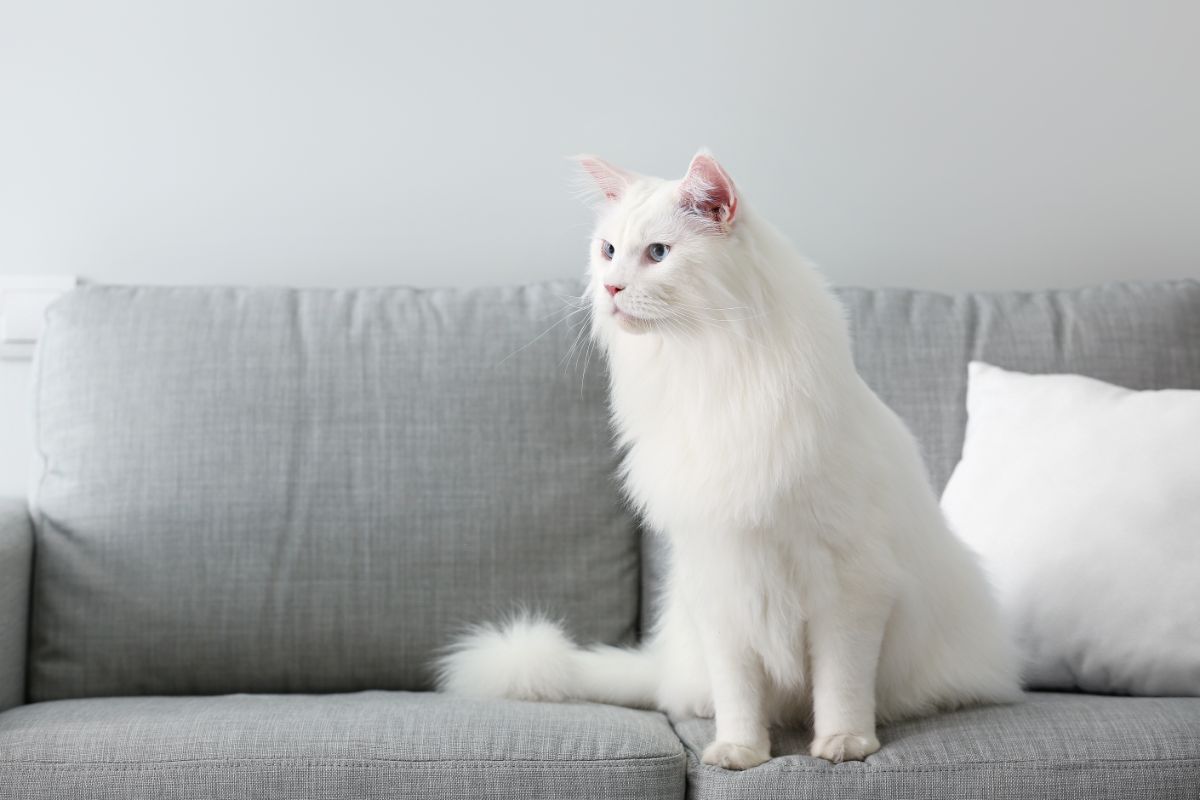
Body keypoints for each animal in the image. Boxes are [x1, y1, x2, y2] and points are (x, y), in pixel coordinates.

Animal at [436, 151, 1017, 767]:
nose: (611, 286)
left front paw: (844, 743)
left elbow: (841, 683)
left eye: (658, 253)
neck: (706, 370)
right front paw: (740, 750)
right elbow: (739, 690)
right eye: (609, 250)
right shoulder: (721, 580)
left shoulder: (849, 585)